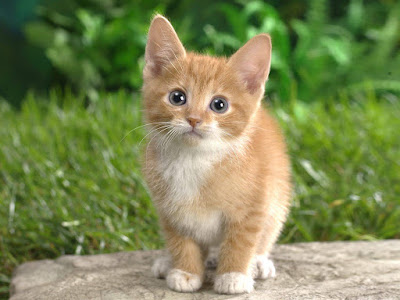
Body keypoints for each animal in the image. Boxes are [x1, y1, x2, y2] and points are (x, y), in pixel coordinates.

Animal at [142, 15, 292, 294]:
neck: (194, 159)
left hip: (278, 200)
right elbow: (180, 240)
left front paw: (234, 275)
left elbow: (241, 241)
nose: (193, 119)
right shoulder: (170, 209)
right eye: (177, 97)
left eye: (219, 104)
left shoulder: (254, 205)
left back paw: (258, 262)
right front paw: (186, 272)